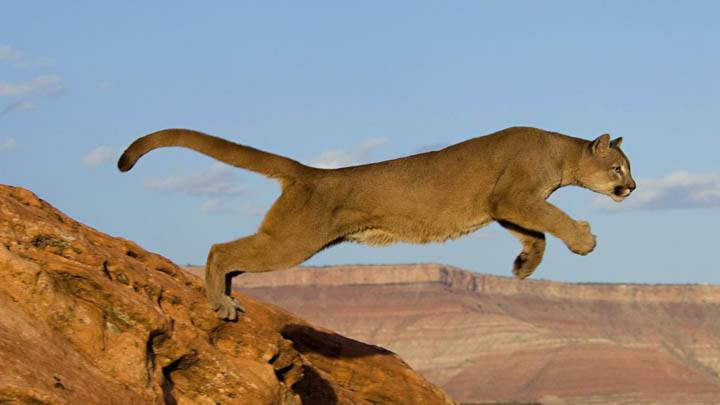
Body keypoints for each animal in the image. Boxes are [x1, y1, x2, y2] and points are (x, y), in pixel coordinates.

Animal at [118, 126, 636, 320]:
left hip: (286, 239)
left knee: (232, 256)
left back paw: (226, 297)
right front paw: (584, 241)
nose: (631, 187)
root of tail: (314, 173)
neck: (560, 153)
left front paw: (525, 266)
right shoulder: (511, 195)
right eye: (618, 168)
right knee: (219, 249)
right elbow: (552, 217)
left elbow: (536, 230)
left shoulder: (503, 206)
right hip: (292, 241)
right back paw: (221, 303)